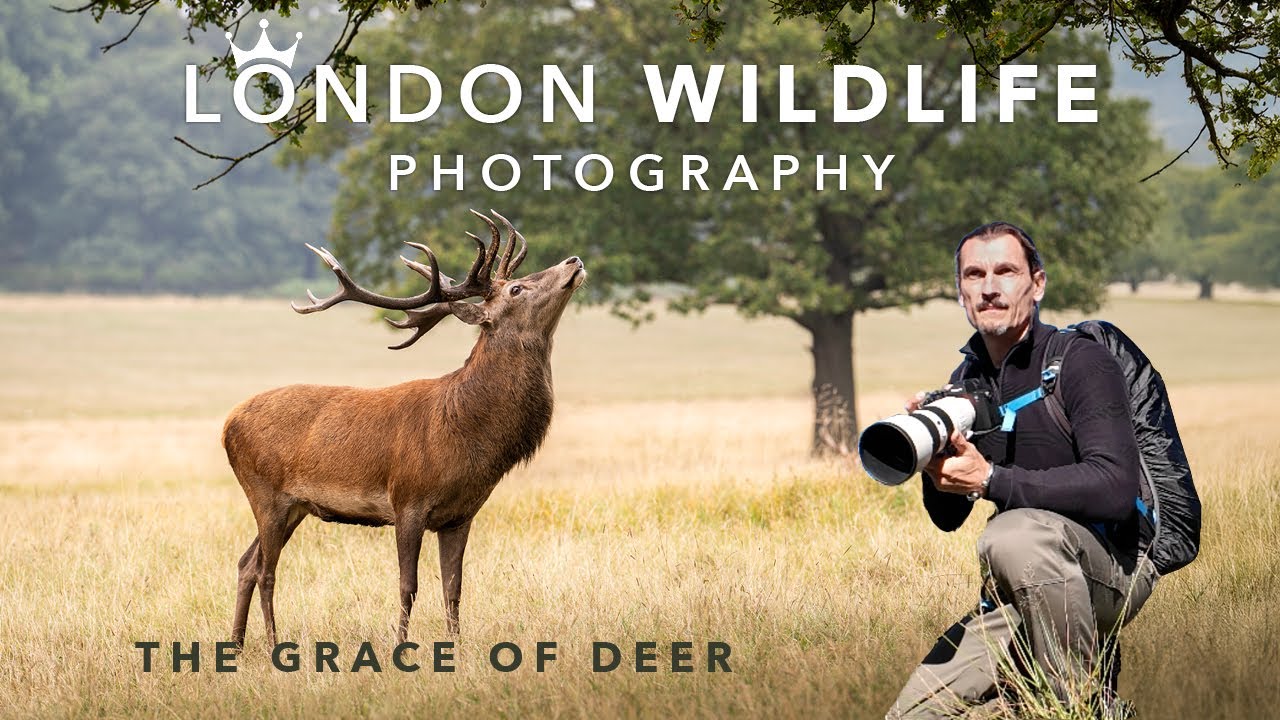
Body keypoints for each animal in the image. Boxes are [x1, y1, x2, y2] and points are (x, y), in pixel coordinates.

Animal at [221, 209, 586, 648]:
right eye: (517, 288)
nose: (573, 260)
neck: (466, 431)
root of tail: (227, 424)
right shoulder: (407, 500)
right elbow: (408, 585)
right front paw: (401, 645)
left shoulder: (461, 514)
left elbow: (453, 587)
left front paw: (456, 647)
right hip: (266, 493)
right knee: (265, 570)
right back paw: (274, 643)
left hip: (295, 506)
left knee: (246, 562)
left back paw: (237, 644)